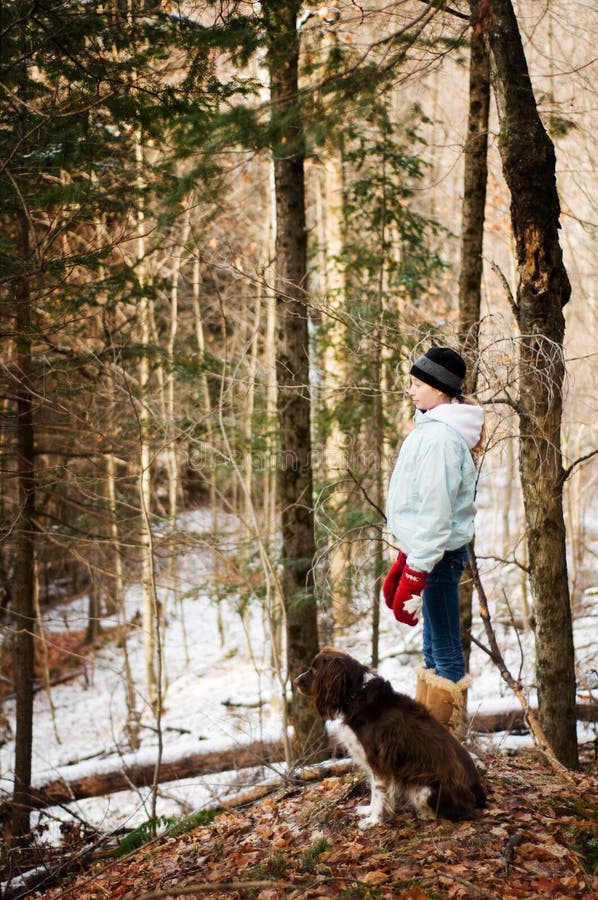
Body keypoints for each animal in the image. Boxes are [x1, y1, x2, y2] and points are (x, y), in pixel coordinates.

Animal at [296, 648, 488, 828]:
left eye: (314, 670)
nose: (296, 681)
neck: (357, 695)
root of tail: (479, 792)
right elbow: (374, 790)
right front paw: (369, 811)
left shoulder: (378, 761)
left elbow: (379, 791)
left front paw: (374, 821)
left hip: (423, 787)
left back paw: (424, 814)